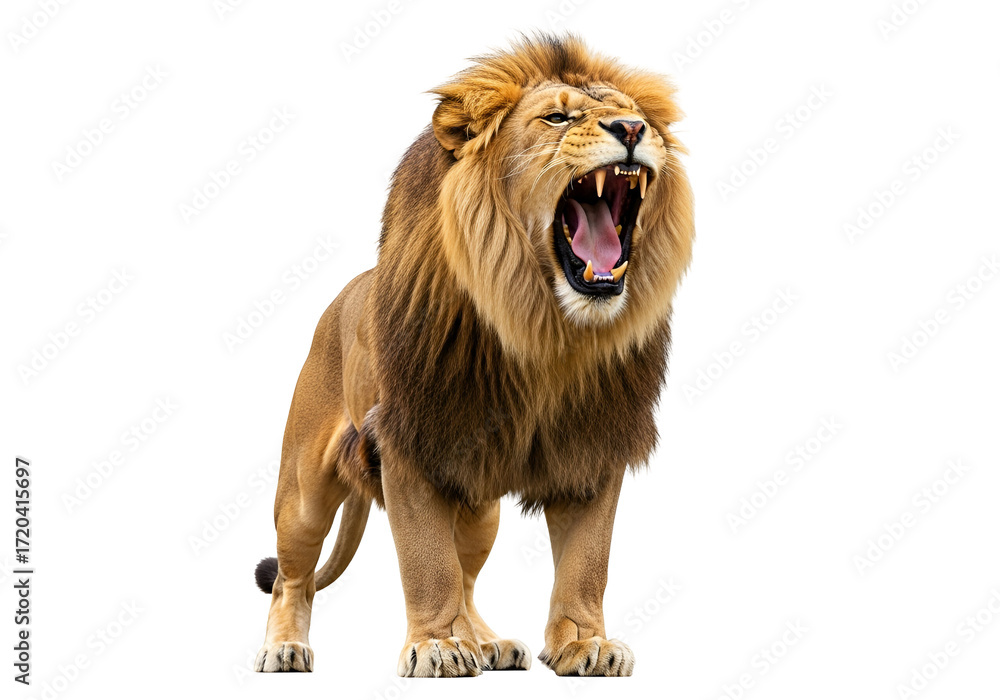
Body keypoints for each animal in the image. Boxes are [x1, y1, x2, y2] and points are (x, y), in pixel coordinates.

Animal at [252, 33, 694, 677]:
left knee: (466, 579)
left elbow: (587, 561)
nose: (633, 129)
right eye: (557, 117)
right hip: (304, 492)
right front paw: (436, 645)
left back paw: (486, 641)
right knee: (294, 577)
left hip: (481, 507)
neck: (544, 330)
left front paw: (584, 642)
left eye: (635, 114)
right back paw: (285, 645)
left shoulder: (592, 442)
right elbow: (426, 562)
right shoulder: (411, 443)